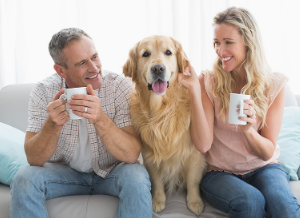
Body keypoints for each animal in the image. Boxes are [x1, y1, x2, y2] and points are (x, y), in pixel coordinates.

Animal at [122, 35, 206, 215]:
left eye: (168, 52)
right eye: (145, 54)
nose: (158, 68)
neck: (161, 110)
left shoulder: (194, 152)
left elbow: (192, 180)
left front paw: (194, 202)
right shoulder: (149, 154)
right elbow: (157, 180)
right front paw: (158, 200)